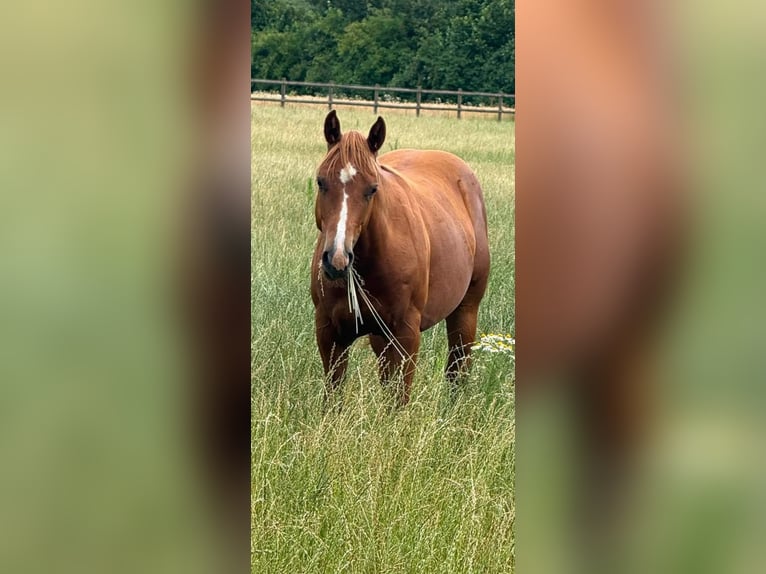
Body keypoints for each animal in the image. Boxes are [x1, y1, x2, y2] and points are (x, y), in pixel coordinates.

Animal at [310, 110, 490, 406]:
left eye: (372, 189)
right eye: (321, 181)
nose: (337, 259)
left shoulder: (406, 336)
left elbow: (399, 401)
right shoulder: (330, 334)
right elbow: (333, 398)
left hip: (465, 312)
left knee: (457, 368)